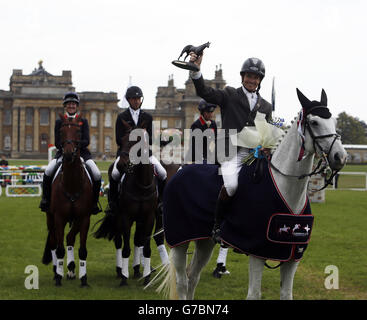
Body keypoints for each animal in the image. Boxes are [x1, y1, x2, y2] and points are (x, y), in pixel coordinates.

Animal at [41, 115, 94, 288]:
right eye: (61, 131)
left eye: (78, 131)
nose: (69, 154)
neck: (71, 184)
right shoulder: (59, 217)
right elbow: (59, 249)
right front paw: (58, 276)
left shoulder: (84, 218)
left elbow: (82, 249)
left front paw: (84, 279)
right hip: (50, 218)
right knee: (53, 242)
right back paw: (56, 271)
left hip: (76, 220)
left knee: (70, 238)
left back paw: (70, 269)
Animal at [94, 119, 157, 284]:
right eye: (122, 140)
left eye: (138, 140)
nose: (121, 165)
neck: (141, 184)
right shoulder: (125, 217)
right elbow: (126, 248)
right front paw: (124, 278)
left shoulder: (149, 217)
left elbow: (146, 248)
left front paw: (147, 278)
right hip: (117, 216)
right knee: (118, 241)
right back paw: (119, 270)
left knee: (137, 241)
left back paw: (136, 270)